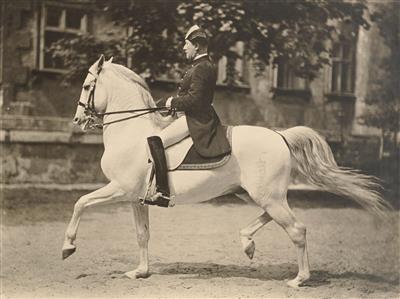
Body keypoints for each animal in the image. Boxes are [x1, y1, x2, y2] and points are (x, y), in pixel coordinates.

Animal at [64, 55, 390, 288]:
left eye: (87, 86)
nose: (78, 120)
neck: (130, 132)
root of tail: (280, 136)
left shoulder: (119, 189)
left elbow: (80, 202)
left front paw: (68, 246)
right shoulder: (135, 198)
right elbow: (142, 234)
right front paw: (140, 272)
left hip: (266, 195)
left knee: (297, 229)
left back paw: (299, 279)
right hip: (253, 193)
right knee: (272, 217)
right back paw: (247, 243)